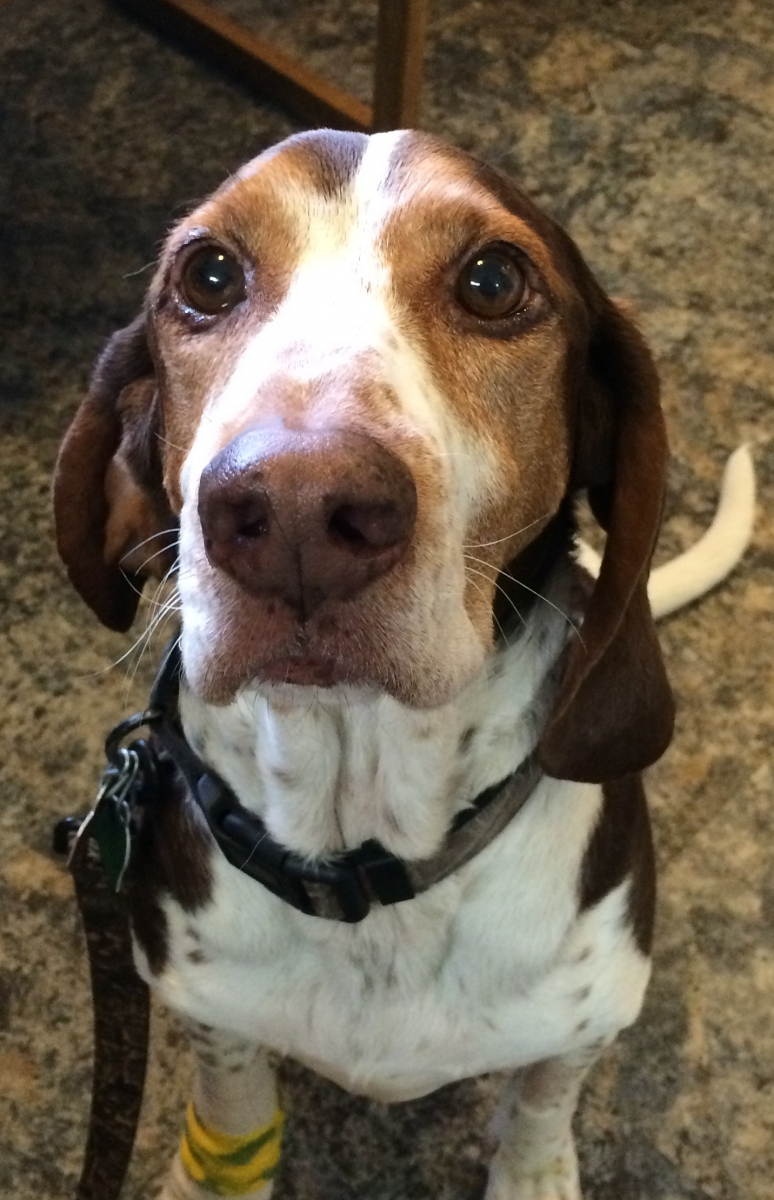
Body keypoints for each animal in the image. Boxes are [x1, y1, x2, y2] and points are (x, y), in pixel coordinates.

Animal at [53, 129, 753, 1200]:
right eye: (207, 275)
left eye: (493, 280)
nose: (296, 510)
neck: (370, 862)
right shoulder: (206, 1005)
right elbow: (233, 1097)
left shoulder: (587, 1016)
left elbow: (545, 1098)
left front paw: (533, 1170)